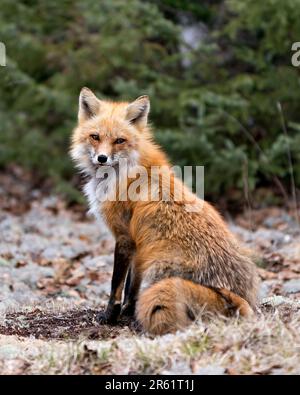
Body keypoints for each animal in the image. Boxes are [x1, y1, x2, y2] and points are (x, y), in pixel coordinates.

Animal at [71, 88, 258, 336]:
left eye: (119, 141)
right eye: (95, 137)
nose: (102, 158)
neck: (126, 172)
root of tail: (239, 298)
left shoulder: (124, 237)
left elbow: (116, 285)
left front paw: (109, 316)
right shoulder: (139, 245)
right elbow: (132, 286)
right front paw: (128, 312)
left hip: (158, 272)